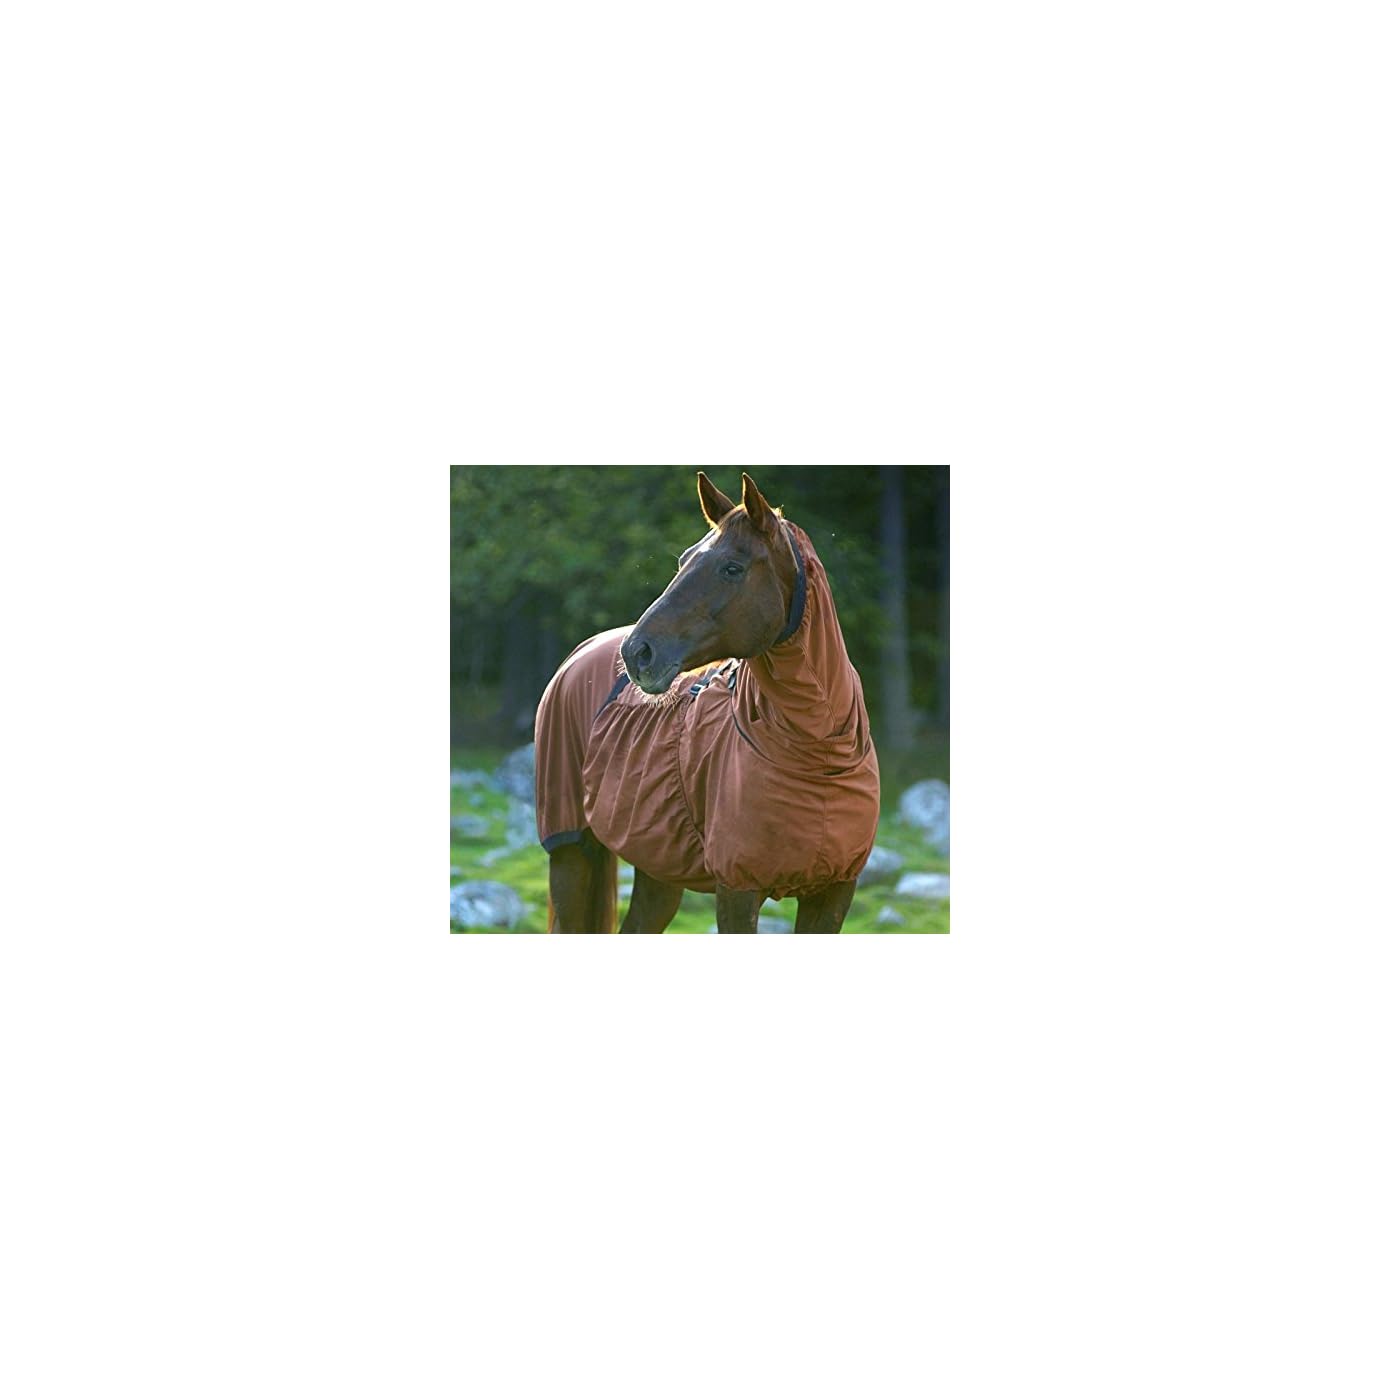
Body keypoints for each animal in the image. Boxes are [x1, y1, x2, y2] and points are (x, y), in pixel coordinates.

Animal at [534, 471, 881, 933]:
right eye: (683, 560)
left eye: (732, 567)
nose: (637, 653)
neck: (819, 746)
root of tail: (583, 650)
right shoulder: (736, 889)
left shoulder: (833, 892)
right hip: (571, 851)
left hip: (659, 866)